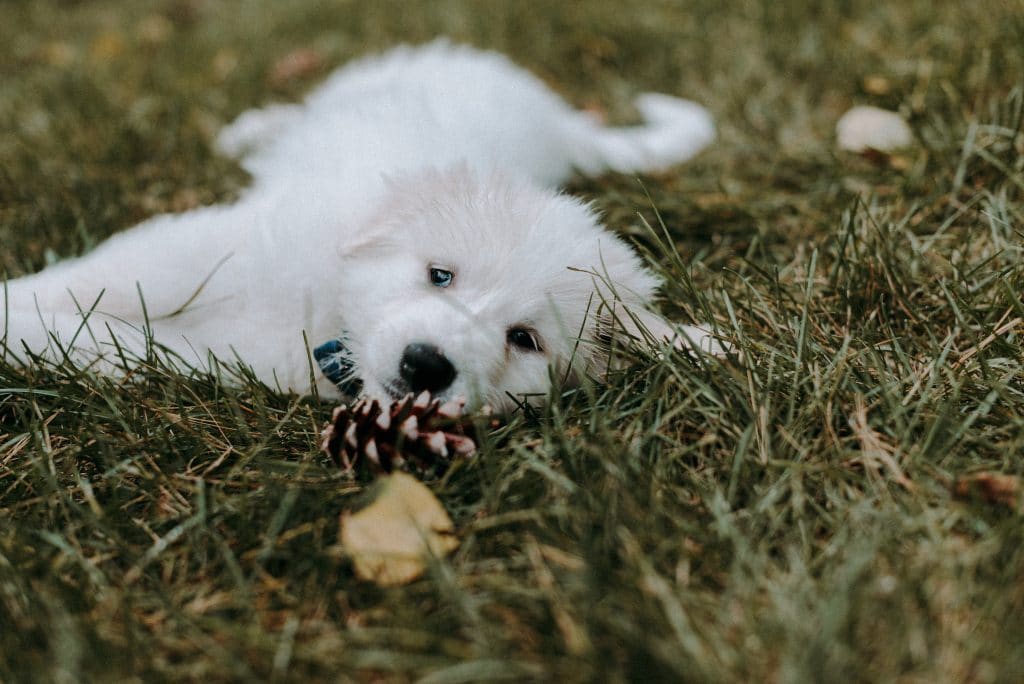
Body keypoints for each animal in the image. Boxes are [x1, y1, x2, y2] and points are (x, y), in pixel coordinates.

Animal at [2, 41, 720, 411]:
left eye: (524, 340)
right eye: (440, 275)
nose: (426, 366)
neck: (331, 313)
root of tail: (558, 120)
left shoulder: (234, 357)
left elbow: (114, 346)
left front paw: (32, 335)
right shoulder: (198, 250)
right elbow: (96, 280)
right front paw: (18, 304)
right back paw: (254, 128)